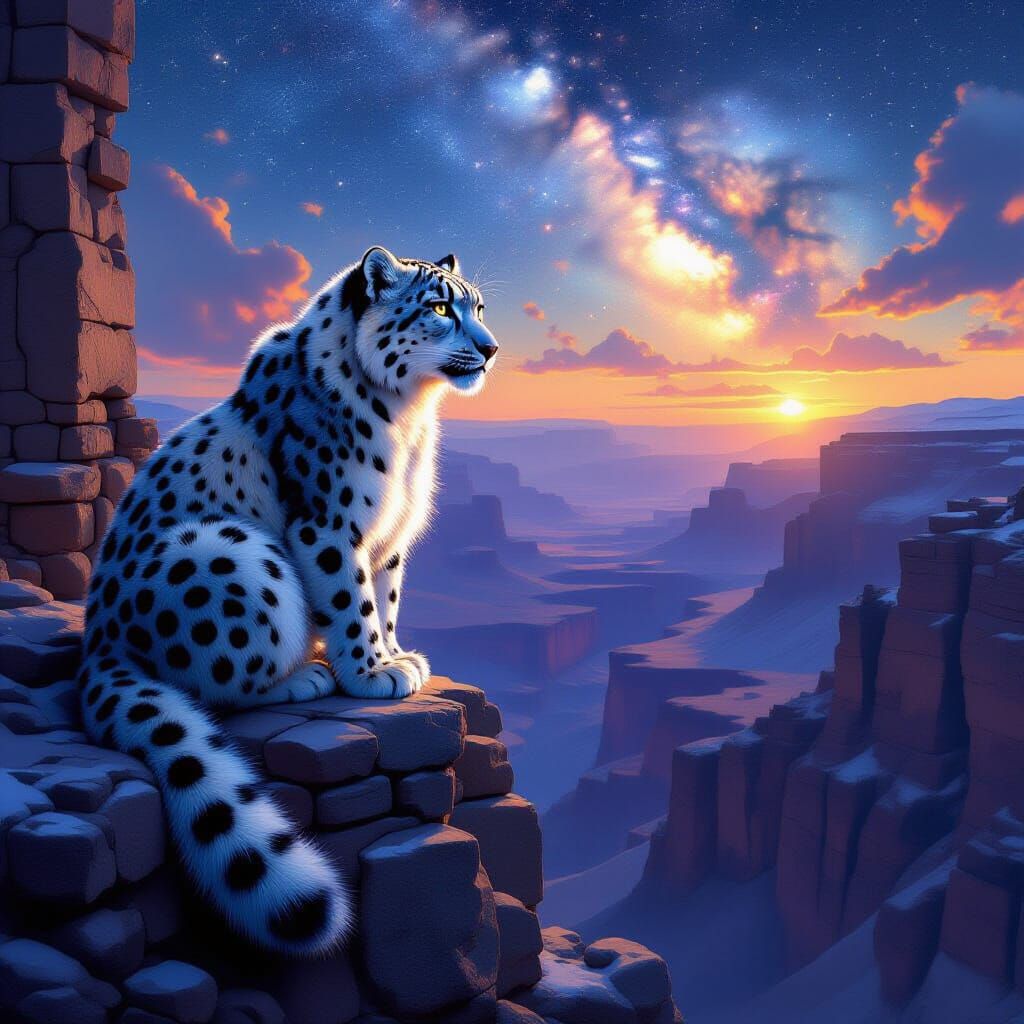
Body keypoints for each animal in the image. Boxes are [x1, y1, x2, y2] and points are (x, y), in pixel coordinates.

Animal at [77, 247, 498, 955]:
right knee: (213, 683)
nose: (491, 348)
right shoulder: (329, 524)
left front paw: (397, 657)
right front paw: (370, 673)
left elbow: (384, 597)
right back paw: (303, 678)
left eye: (480, 306)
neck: (410, 418)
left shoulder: (390, 536)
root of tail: (96, 642)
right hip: (233, 555)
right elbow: (351, 601)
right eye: (441, 306)